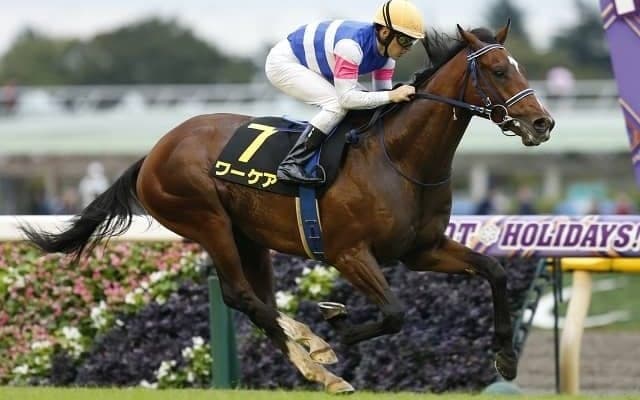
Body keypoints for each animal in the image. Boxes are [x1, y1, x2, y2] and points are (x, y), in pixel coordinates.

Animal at [21, 23, 554, 393]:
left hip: (248, 235)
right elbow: (395, 313)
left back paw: (311, 353)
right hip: (206, 220)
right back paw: (316, 358)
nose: (543, 123)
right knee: (240, 295)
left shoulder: (421, 249)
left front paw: (505, 358)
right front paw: (338, 331)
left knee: (258, 298)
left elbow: (494, 271)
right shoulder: (348, 253)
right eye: (498, 70)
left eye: (521, 66)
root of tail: (152, 153)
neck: (399, 158)